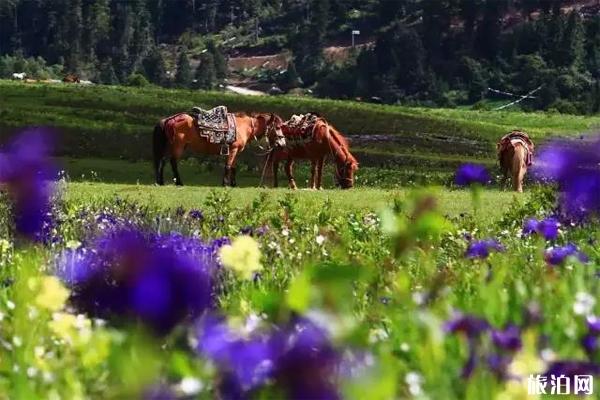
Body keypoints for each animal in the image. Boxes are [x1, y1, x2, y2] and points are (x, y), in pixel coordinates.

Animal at [154, 111, 288, 187]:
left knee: (162, 161)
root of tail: (169, 119)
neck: (243, 127)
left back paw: (161, 182)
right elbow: (228, 166)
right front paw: (225, 184)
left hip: (169, 146)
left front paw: (234, 184)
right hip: (178, 146)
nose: (283, 143)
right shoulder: (233, 150)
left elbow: (233, 168)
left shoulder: (236, 152)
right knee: (173, 162)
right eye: (277, 127)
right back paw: (179, 182)